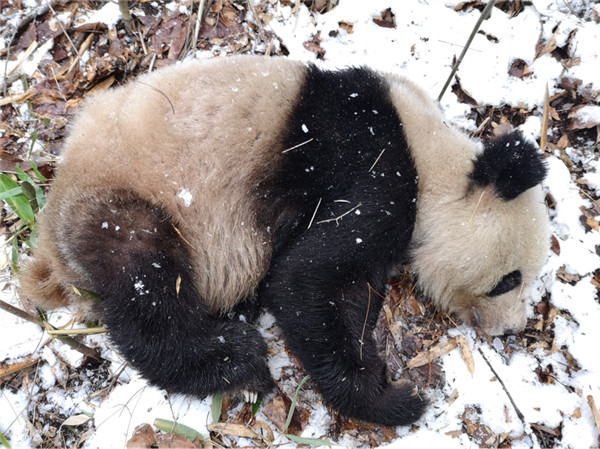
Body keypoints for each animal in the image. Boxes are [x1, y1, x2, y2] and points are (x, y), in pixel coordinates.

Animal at [18, 54, 552, 426]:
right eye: (509, 280)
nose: (513, 329)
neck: (433, 157)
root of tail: (49, 246)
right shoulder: (374, 169)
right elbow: (303, 280)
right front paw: (395, 400)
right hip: (122, 199)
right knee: (146, 283)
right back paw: (236, 359)